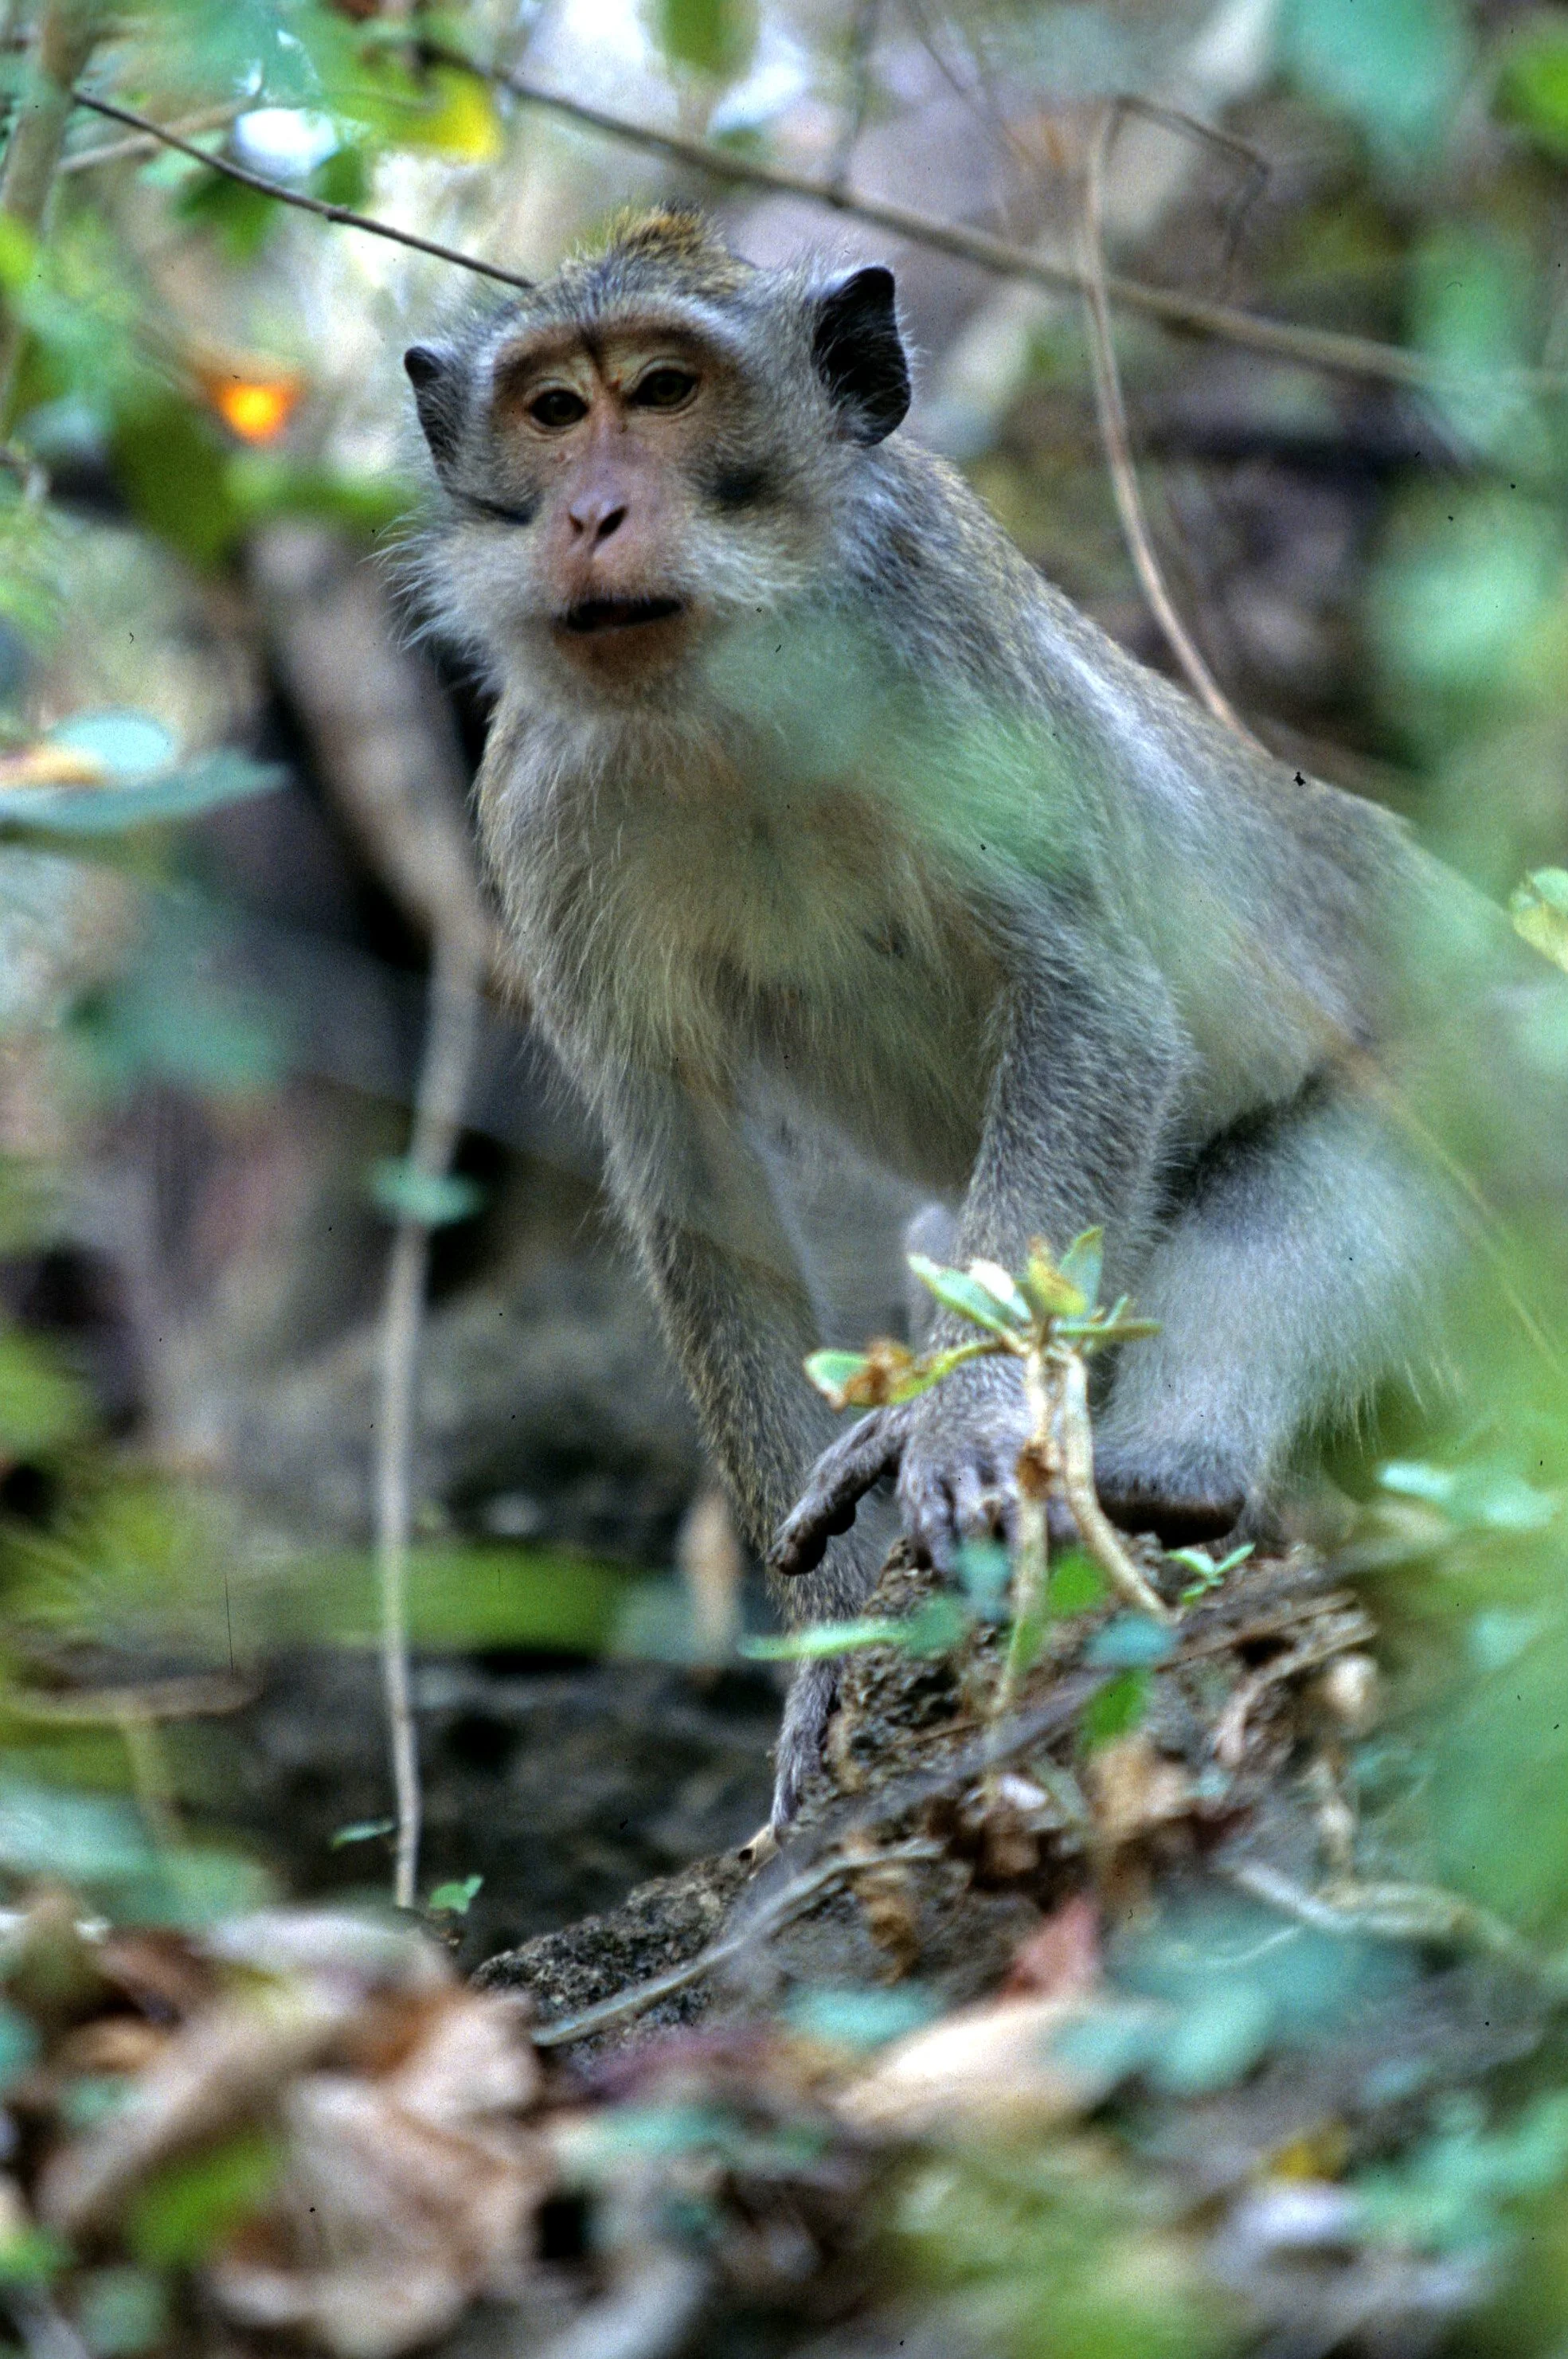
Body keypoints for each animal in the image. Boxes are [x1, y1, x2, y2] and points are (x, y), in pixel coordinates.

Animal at [402, 208, 1537, 1835]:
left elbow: (1092, 1001)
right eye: (554, 411)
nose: (591, 513)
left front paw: (951, 1428)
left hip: (1501, 1094)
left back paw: (1148, 1480)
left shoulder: (941, 646)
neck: (732, 689)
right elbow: (693, 1171)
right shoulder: (541, 796)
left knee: (1320, 1183)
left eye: (667, 390)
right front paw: (825, 1655)